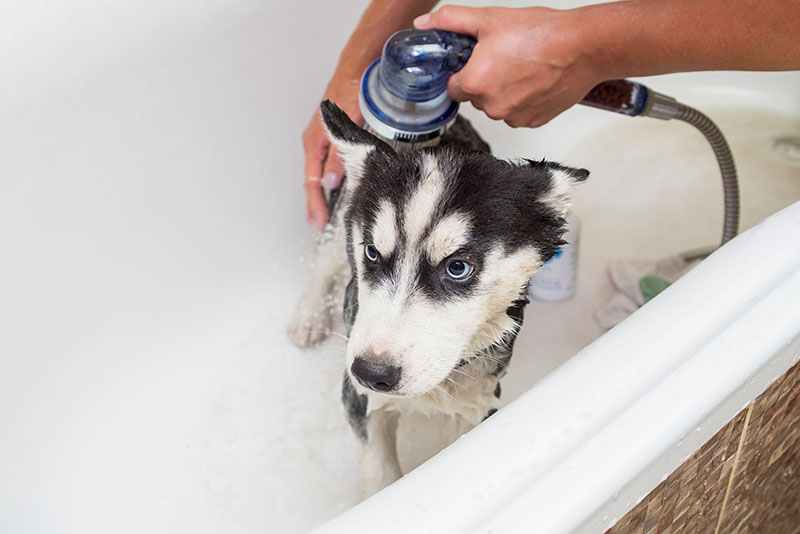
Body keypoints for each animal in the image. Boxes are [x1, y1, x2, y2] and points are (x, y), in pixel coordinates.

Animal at [288, 102, 588, 500]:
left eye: (457, 268)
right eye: (371, 253)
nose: (372, 372)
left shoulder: (477, 401)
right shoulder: (359, 399)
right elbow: (379, 474)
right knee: (325, 255)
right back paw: (308, 317)